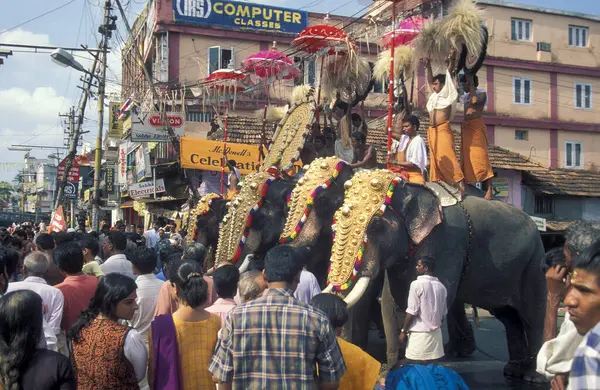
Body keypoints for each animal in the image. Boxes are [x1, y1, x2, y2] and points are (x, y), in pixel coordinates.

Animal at [326, 171, 548, 378]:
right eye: (334, 222)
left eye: (376, 225)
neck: (411, 188)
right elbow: (391, 303)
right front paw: (390, 373)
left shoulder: (448, 242)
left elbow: (435, 299)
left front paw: (412, 367)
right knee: (508, 317)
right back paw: (513, 370)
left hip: (534, 263)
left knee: (532, 316)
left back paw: (532, 376)